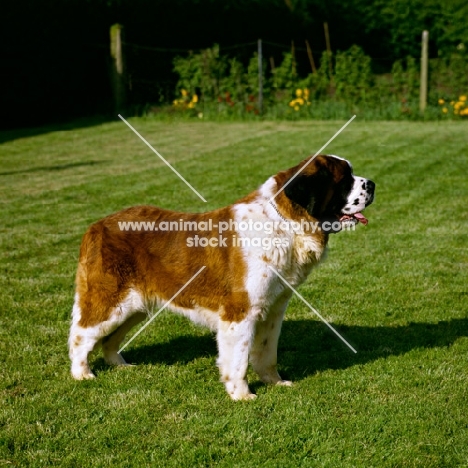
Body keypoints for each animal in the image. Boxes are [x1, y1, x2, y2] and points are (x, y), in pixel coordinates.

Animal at [69, 153, 374, 398]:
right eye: (345, 179)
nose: (371, 184)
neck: (285, 222)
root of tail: (96, 225)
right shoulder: (240, 312)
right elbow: (238, 358)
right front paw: (242, 395)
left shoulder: (273, 308)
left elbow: (266, 351)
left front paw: (275, 382)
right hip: (111, 301)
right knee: (81, 334)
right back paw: (81, 374)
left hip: (135, 306)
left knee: (109, 339)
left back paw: (120, 364)